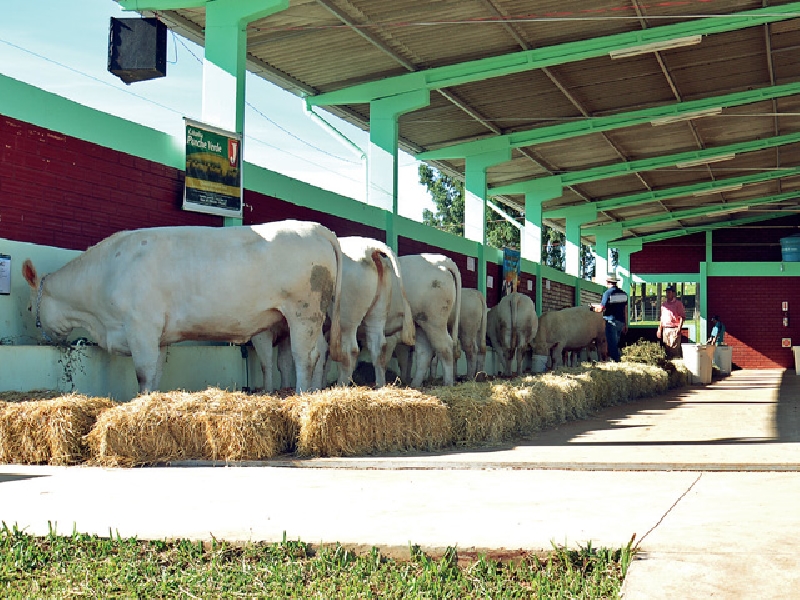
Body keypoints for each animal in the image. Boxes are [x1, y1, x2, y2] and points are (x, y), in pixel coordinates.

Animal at [22, 220, 344, 394]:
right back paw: (315, 393)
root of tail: (314, 227)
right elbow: (154, 374)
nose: (38, 339)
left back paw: (301, 395)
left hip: (303, 311)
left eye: (27, 309)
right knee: (321, 351)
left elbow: (142, 373)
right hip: (313, 317)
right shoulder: (158, 335)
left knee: (306, 356)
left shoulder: (141, 326)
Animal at [390, 254, 462, 386]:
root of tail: (442, 259)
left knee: (445, 347)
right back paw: (415, 385)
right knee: (425, 353)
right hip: (421, 323)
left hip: (434, 321)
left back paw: (448, 384)